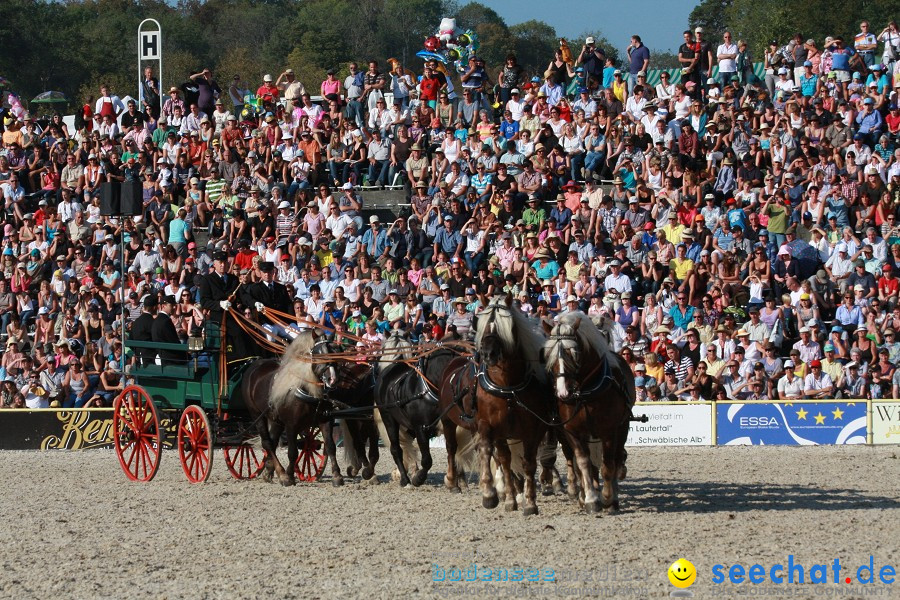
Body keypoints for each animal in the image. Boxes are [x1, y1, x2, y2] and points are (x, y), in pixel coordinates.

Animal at [239, 330, 338, 486]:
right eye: (318, 353)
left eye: (336, 351)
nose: (332, 379)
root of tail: (254, 366)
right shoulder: (291, 425)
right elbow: (293, 452)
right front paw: (290, 476)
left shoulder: (325, 420)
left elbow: (330, 446)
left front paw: (337, 476)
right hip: (256, 415)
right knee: (267, 443)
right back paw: (282, 474)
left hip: (275, 419)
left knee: (273, 442)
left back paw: (269, 471)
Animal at [436, 298, 548, 512]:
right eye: (482, 324)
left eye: (508, 326)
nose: (488, 354)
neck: (507, 385)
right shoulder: (489, 424)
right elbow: (490, 453)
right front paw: (490, 493)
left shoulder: (531, 427)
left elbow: (526, 462)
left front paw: (527, 501)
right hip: (448, 420)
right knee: (452, 447)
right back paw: (453, 481)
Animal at [540, 312, 632, 512]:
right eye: (549, 354)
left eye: (573, 353)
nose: (563, 392)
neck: (585, 392)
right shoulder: (572, 431)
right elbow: (583, 462)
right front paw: (589, 498)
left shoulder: (609, 430)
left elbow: (607, 464)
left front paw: (607, 498)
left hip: (623, 427)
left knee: (616, 457)